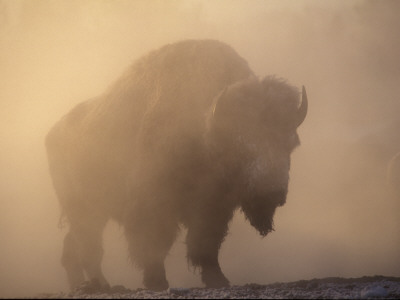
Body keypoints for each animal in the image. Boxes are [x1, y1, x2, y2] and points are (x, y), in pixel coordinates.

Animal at [47, 38, 310, 292]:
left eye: (290, 144)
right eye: (241, 144)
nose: (272, 192)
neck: (205, 129)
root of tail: (53, 133)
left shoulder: (213, 206)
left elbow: (205, 244)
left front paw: (218, 280)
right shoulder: (153, 204)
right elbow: (153, 244)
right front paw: (156, 282)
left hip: (92, 212)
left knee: (73, 247)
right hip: (83, 209)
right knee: (89, 248)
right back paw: (101, 285)